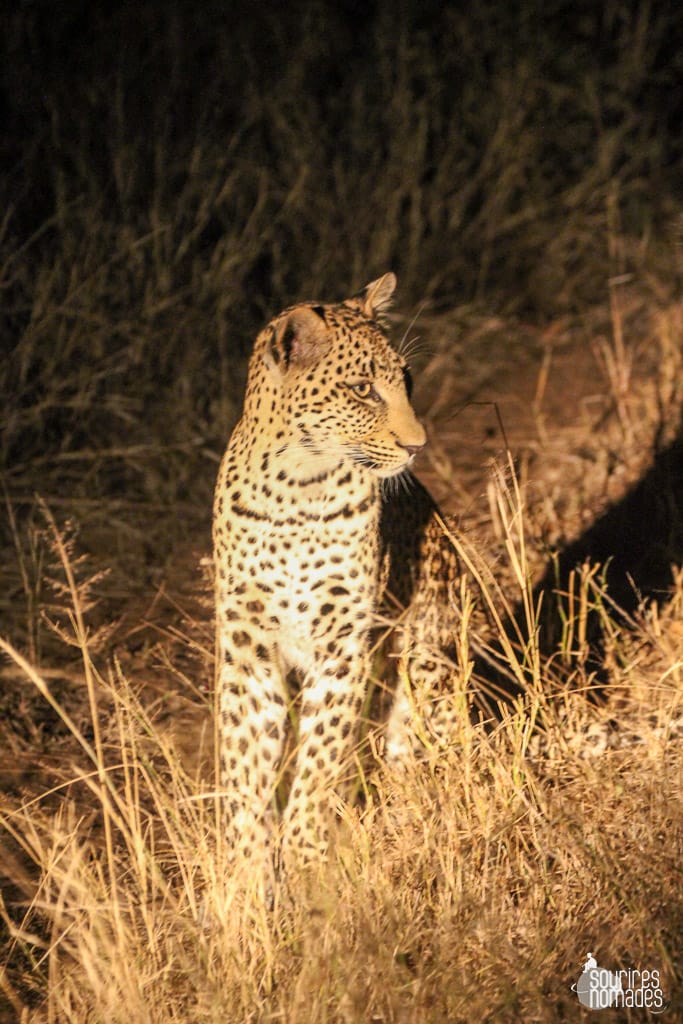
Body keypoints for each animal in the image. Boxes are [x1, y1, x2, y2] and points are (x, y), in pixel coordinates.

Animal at [215, 276, 464, 876]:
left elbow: (321, 757)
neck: (295, 487)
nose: (417, 446)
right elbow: (245, 767)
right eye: (362, 389)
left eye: (407, 380)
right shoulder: (247, 649)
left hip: (427, 663)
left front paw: (305, 858)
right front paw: (246, 877)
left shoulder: (343, 640)